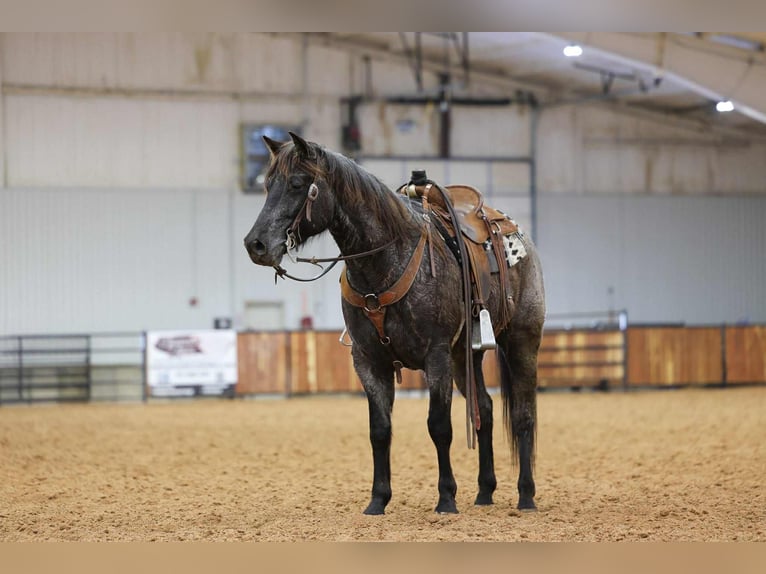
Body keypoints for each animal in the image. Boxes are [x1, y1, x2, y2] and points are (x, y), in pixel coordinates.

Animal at [244, 132, 545, 515]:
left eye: (298, 184)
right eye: (268, 185)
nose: (255, 244)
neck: (385, 262)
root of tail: (517, 234)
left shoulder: (436, 357)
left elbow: (439, 426)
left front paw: (446, 498)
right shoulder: (369, 361)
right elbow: (380, 429)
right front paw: (378, 499)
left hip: (521, 341)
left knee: (523, 414)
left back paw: (526, 495)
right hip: (466, 356)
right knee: (486, 411)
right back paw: (484, 492)